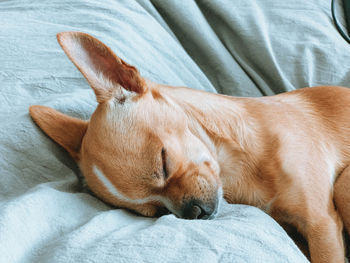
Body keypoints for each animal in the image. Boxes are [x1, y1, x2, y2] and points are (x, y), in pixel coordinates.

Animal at [30, 32, 350, 262]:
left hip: (342, 186)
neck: (237, 167)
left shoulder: (320, 225)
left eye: (164, 162)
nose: (193, 213)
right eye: (157, 212)